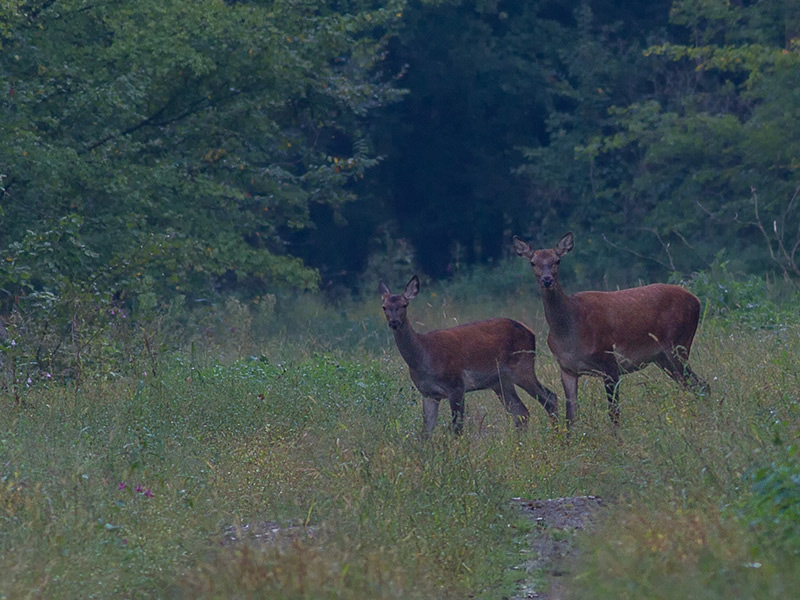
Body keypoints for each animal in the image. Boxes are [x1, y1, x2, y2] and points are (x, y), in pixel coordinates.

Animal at [380, 276, 556, 436]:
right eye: (384, 307)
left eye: (404, 305)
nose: (394, 322)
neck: (424, 359)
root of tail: (531, 333)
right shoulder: (428, 394)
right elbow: (426, 432)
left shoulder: (456, 385)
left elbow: (457, 427)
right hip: (500, 382)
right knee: (521, 412)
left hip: (522, 367)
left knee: (550, 398)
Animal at [512, 232, 708, 428]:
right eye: (533, 262)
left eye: (557, 260)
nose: (547, 280)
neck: (569, 333)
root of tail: (696, 300)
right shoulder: (567, 369)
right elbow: (571, 416)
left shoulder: (610, 362)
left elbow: (614, 412)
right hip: (663, 357)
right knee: (694, 385)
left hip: (678, 345)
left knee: (702, 385)